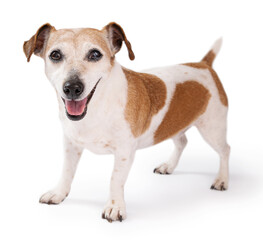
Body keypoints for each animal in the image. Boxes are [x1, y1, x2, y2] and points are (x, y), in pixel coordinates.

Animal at [24, 21, 231, 222]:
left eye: (95, 54)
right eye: (55, 55)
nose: (72, 88)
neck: (97, 107)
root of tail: (203, 65)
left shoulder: (124, 152)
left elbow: (115, 179)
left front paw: (115, 207)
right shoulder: (71, 145)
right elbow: (67, 171)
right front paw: (58, 193)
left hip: (212, 129)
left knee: (225, 150)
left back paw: (222, 179)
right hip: (173, 124)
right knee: (182, 142)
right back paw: (168, 166)